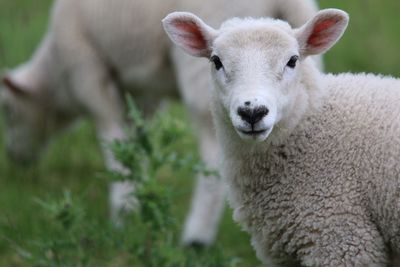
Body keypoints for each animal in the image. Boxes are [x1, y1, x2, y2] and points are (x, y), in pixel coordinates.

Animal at [0, 0, 318, 247]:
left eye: (8, 111)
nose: (15, 157)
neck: (56, 77)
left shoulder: (87, 71)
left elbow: (112, 140)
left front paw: (123, 211)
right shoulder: (144, 94)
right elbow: (135, 140)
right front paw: (138, 195)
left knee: (212, 157)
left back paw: (196, 238)